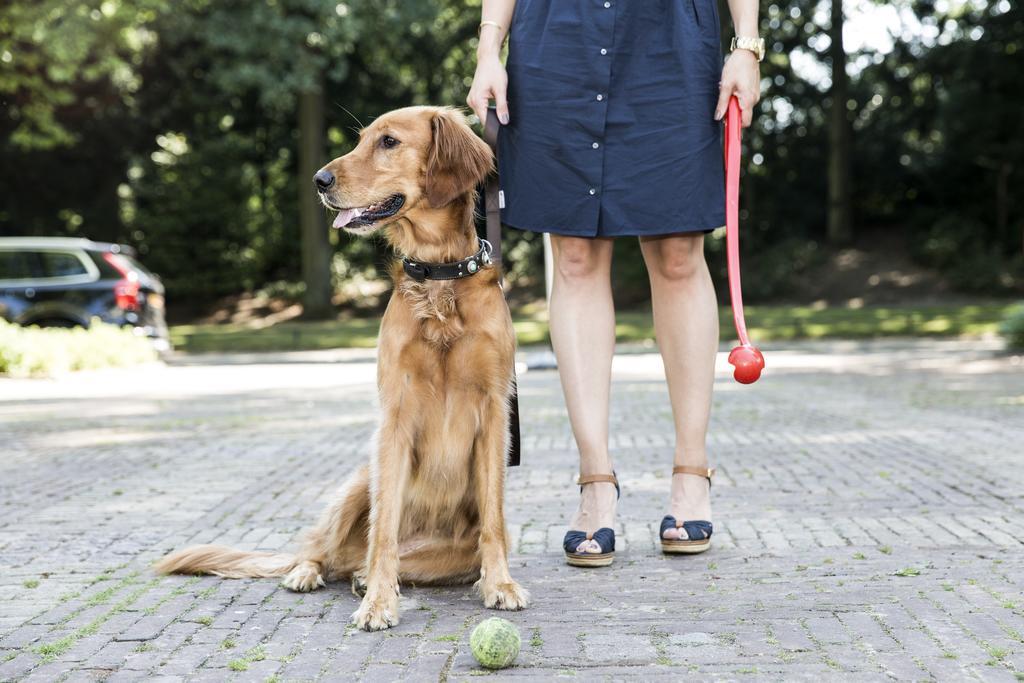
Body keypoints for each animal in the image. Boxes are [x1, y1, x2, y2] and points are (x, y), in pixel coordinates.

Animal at [157, 105, 536, 630]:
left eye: (389, 142)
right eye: (360, 140)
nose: (319, 179)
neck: (438, 277)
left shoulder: (495, 411)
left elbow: (494, 523)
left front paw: (500, 585)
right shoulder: (394, 417)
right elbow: (384, 531)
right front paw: (378, 601)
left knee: (361, 561)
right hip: (358, 483)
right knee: (323, 548)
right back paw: (309, 573)